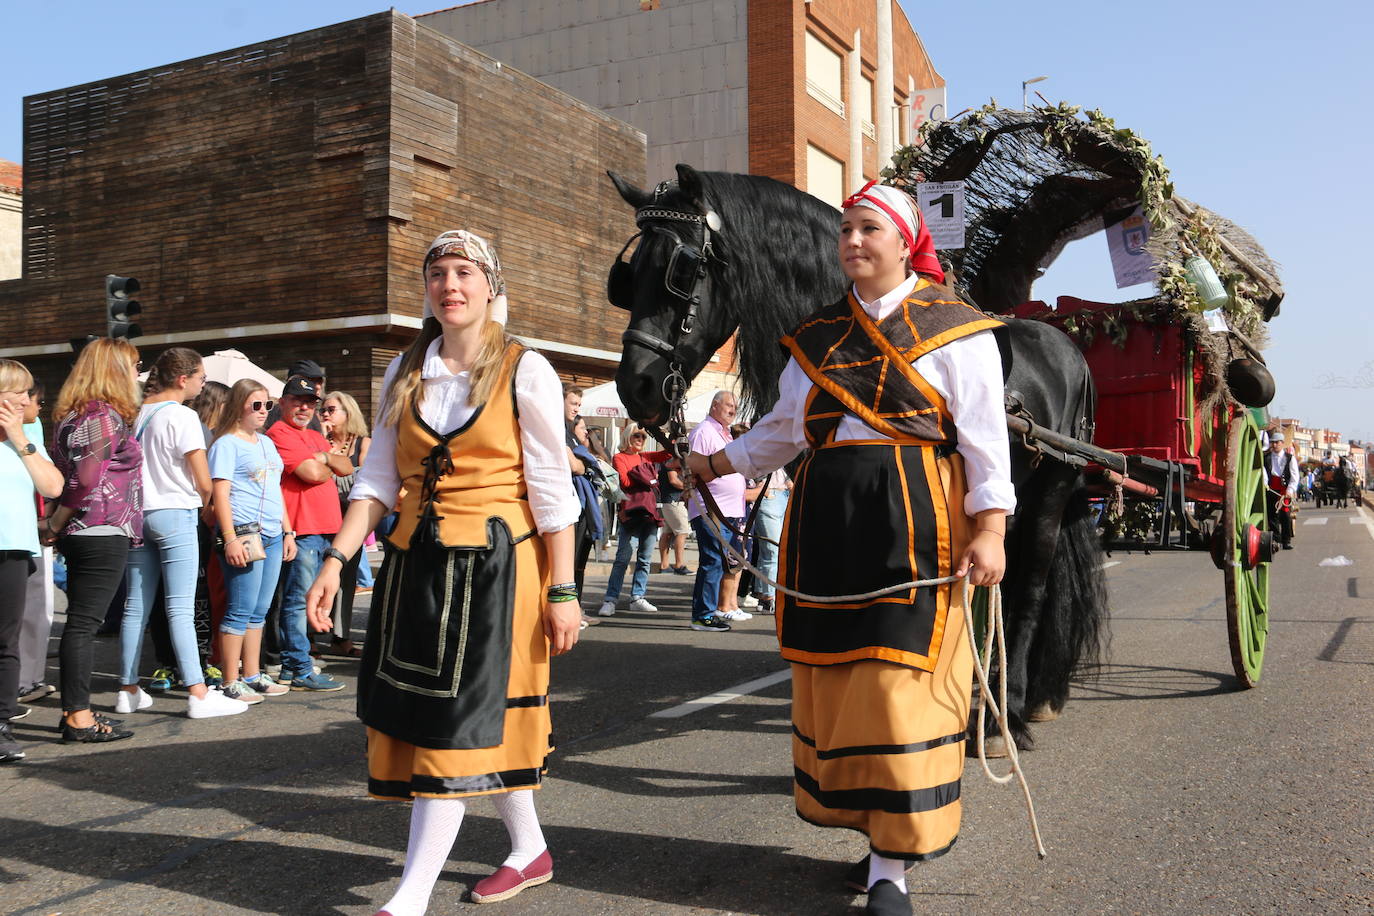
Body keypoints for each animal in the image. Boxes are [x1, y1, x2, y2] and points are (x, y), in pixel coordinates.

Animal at [610, 164, 1104, 747]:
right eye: (628, 275)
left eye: (683, 269)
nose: (635, 387)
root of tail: (1068, 347)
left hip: (1048, 492)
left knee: (1029, 589)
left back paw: (1017, 706)